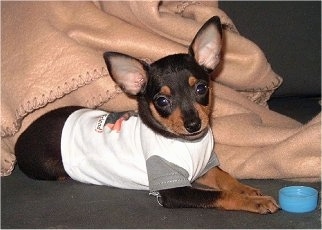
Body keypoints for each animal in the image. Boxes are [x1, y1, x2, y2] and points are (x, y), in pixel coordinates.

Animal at [15, 16, 280, 214]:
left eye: (201, 88)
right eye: (162, 101)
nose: (194, 124)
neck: (187, 144)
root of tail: (22, 136)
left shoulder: (205, 167)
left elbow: (225, 179)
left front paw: (247, 189)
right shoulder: (174, 191)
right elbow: (219, 195)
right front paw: (254, 201)